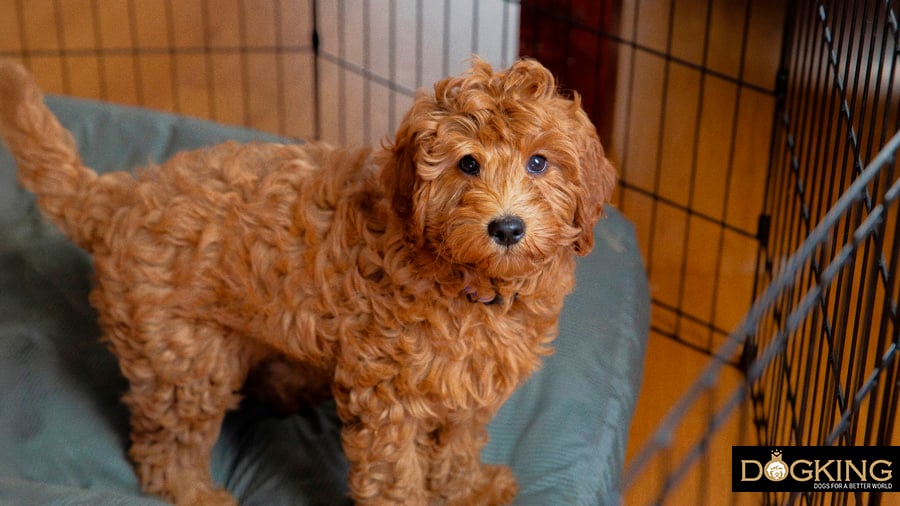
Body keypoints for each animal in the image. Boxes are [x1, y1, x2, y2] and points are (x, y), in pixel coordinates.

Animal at [0, 57, 616, 504]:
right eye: (468, 165)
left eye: (539, 163)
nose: (507, 227)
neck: (471, 282)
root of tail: (117, 196)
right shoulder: (389, 397)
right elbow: (395, 474)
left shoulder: (467, 387)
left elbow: (457, 447)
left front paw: (467, 489)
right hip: (184, 358)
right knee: (164, 448)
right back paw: (198, 493)